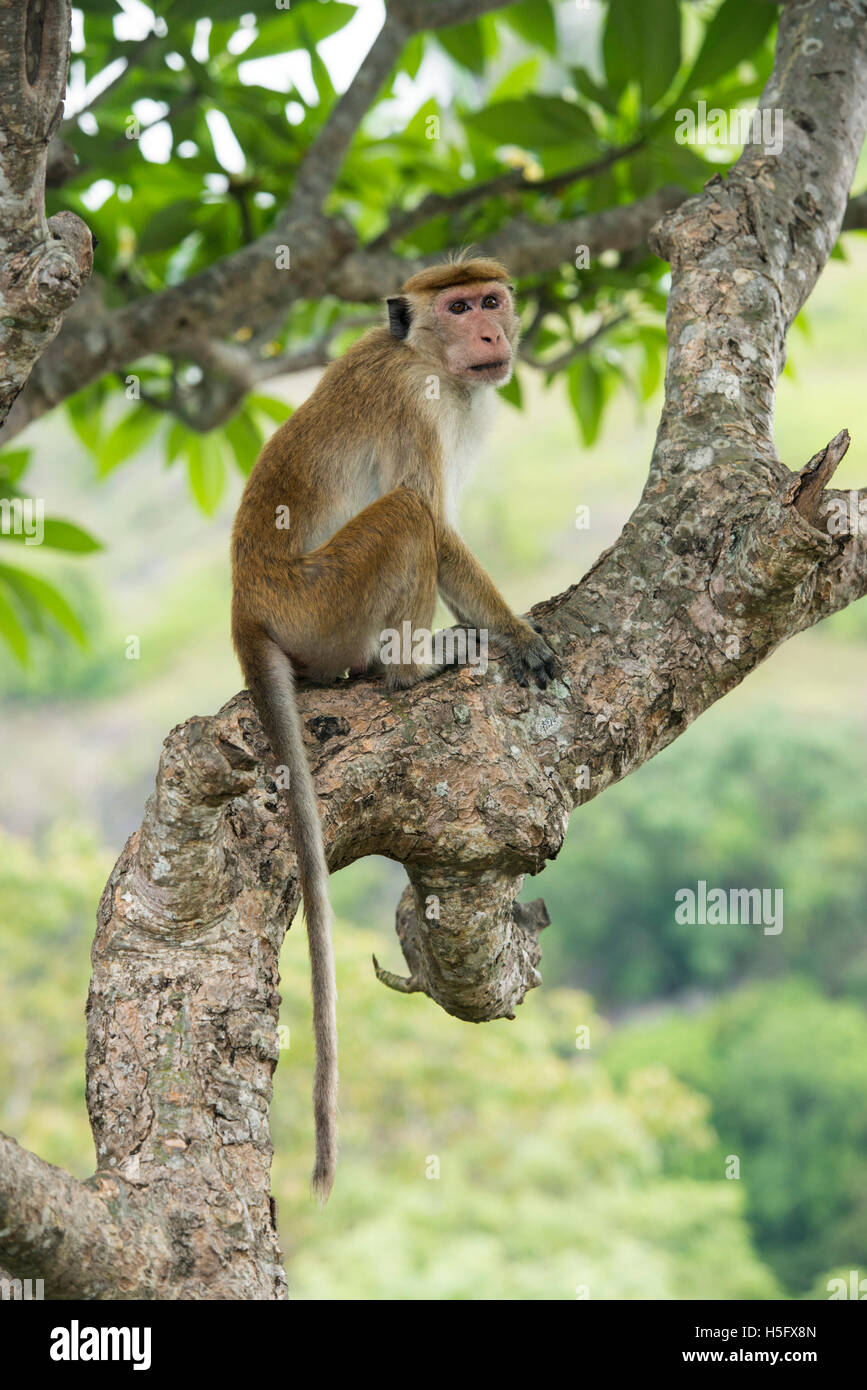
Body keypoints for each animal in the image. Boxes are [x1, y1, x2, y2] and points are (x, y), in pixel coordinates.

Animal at [230, 255, 555, 1200]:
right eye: (458, 305)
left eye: (492, 299)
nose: (489, 330)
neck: (429, 361)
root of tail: (245, 606)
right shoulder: (415, 400)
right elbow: (435, 523)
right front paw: (516, 635)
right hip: (324, 599)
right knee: (407, 517)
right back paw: (409, 668)